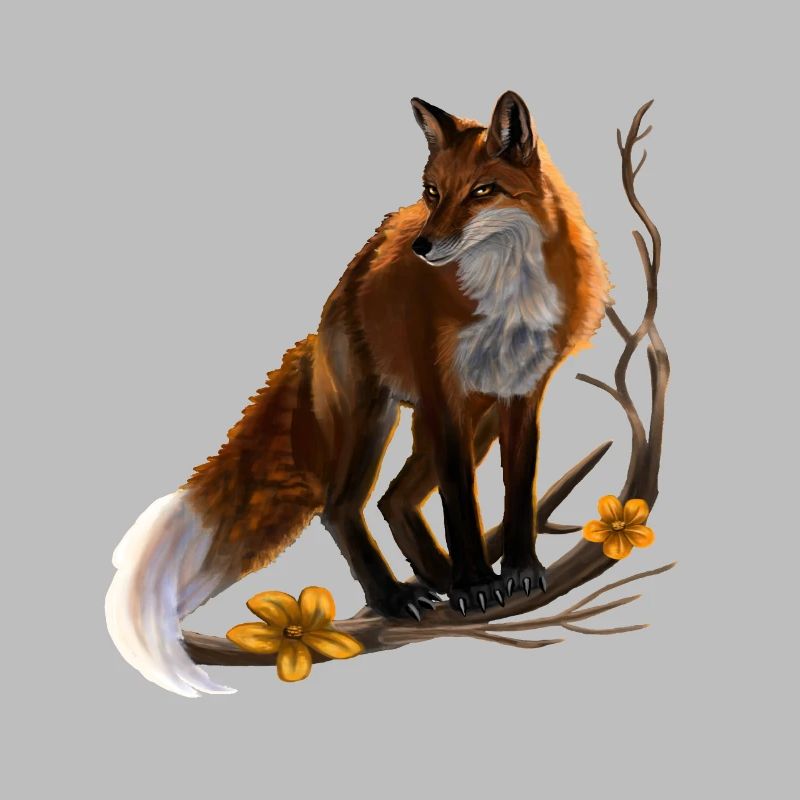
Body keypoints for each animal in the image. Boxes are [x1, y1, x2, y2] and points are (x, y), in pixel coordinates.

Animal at [105, 91, 610, 696]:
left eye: (483, 191)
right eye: (433, 192)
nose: (422, 246)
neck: (506, 295)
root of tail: (335, 301)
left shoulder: (522, 395)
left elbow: (518, 491)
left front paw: (518, 571)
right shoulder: (444, 396)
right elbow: (461, 505)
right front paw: (473, 585)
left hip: (471, 418)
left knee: (393, 499)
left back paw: (434, 578)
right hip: (376, 418)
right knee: (341, 507)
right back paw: (395, 596)